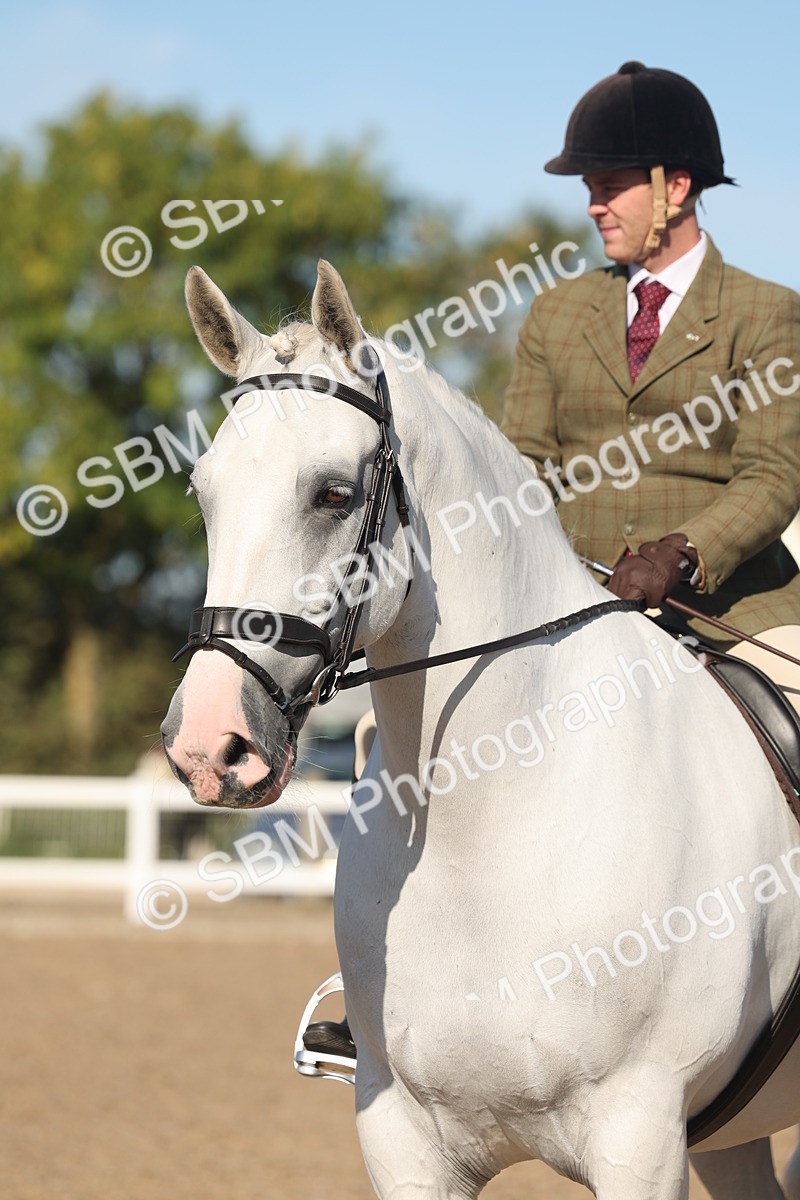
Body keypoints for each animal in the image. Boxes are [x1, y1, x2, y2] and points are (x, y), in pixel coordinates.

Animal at [161, 259, 800, 1200]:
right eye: (204, 493)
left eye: (333, 493)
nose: (210, 747)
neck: (487, 829)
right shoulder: (403, 1141)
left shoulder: (639, 1134)